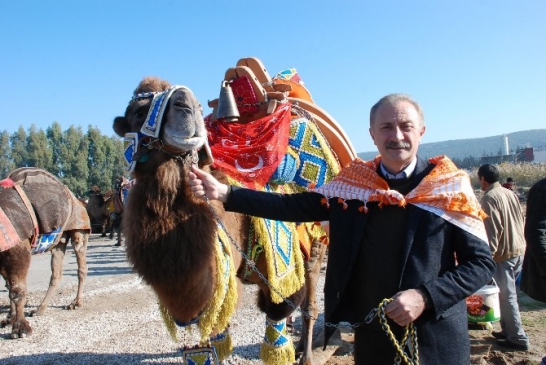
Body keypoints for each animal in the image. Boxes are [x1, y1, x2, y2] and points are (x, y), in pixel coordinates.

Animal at [0, 166, 90, 336]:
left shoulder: (18, 246)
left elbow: (16, 289)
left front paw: (21, 328)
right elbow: (9, 285)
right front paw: (10, 318)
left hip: (78, 226)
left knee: (81, 262)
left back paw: (76, 302)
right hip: (58, 240)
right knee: (56, 273)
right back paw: (40, 309)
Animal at [112, 57, 354, 364]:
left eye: (197, 106)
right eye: (139, 110)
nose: (187, 104)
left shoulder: (282, 276)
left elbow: (279, 328)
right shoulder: (218, 293)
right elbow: (217, 339)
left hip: (316, 245)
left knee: (310, 301)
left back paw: (308, 353)